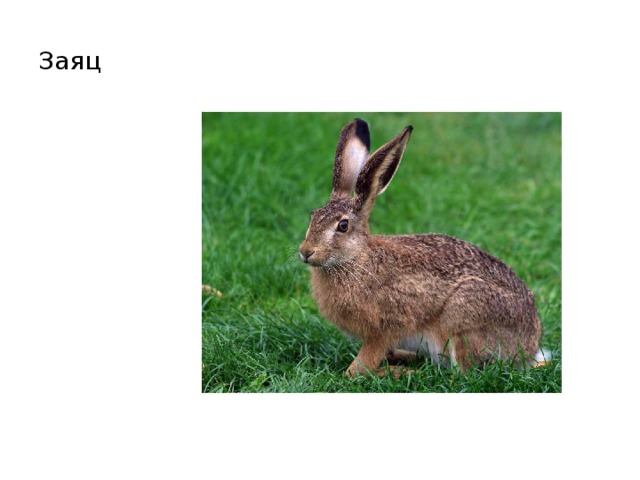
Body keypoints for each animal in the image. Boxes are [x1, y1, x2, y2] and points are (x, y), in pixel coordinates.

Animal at [298, 118, 544, 377]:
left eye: (343, 225)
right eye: (313, 216)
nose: (306, 252)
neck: (356, 259)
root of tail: (529, 346)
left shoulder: (385, 328)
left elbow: (360, 367)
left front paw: (361, 371)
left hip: (463, 320)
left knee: (460, 373)